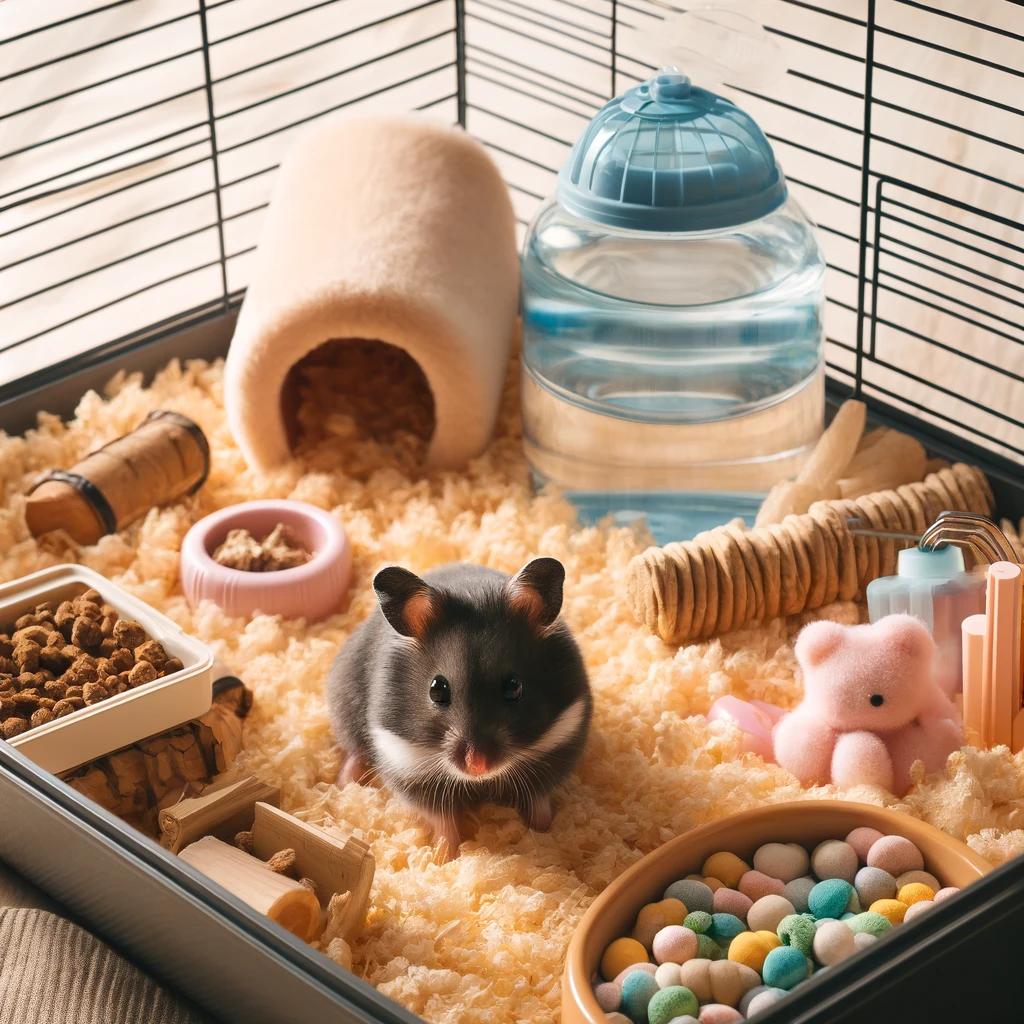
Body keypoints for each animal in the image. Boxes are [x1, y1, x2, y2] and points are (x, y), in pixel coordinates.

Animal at [327, 561, 593, 856]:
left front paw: (543, 831)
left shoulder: (559, 741)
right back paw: (344, 785)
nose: (477, 766)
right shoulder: (407, 764)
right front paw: (444, 855)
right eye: (437, 690)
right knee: (353, 751)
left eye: (514, 686)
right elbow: (443, 819)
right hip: (345, 705)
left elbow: (539, 799)